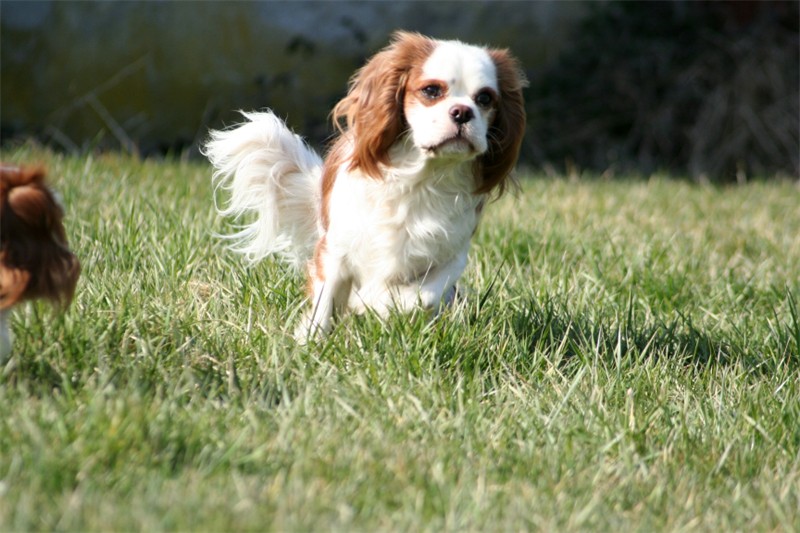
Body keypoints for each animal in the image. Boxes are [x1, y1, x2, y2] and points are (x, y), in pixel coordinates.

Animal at [206, 32, 528, 340]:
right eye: (431, 91)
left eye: (485, 99)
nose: (462, 111)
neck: (421, 179)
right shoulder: (335, 249)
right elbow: (325, 302)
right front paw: (311, 341)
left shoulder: (452, 254)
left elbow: (424, 294)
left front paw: (383, 302)